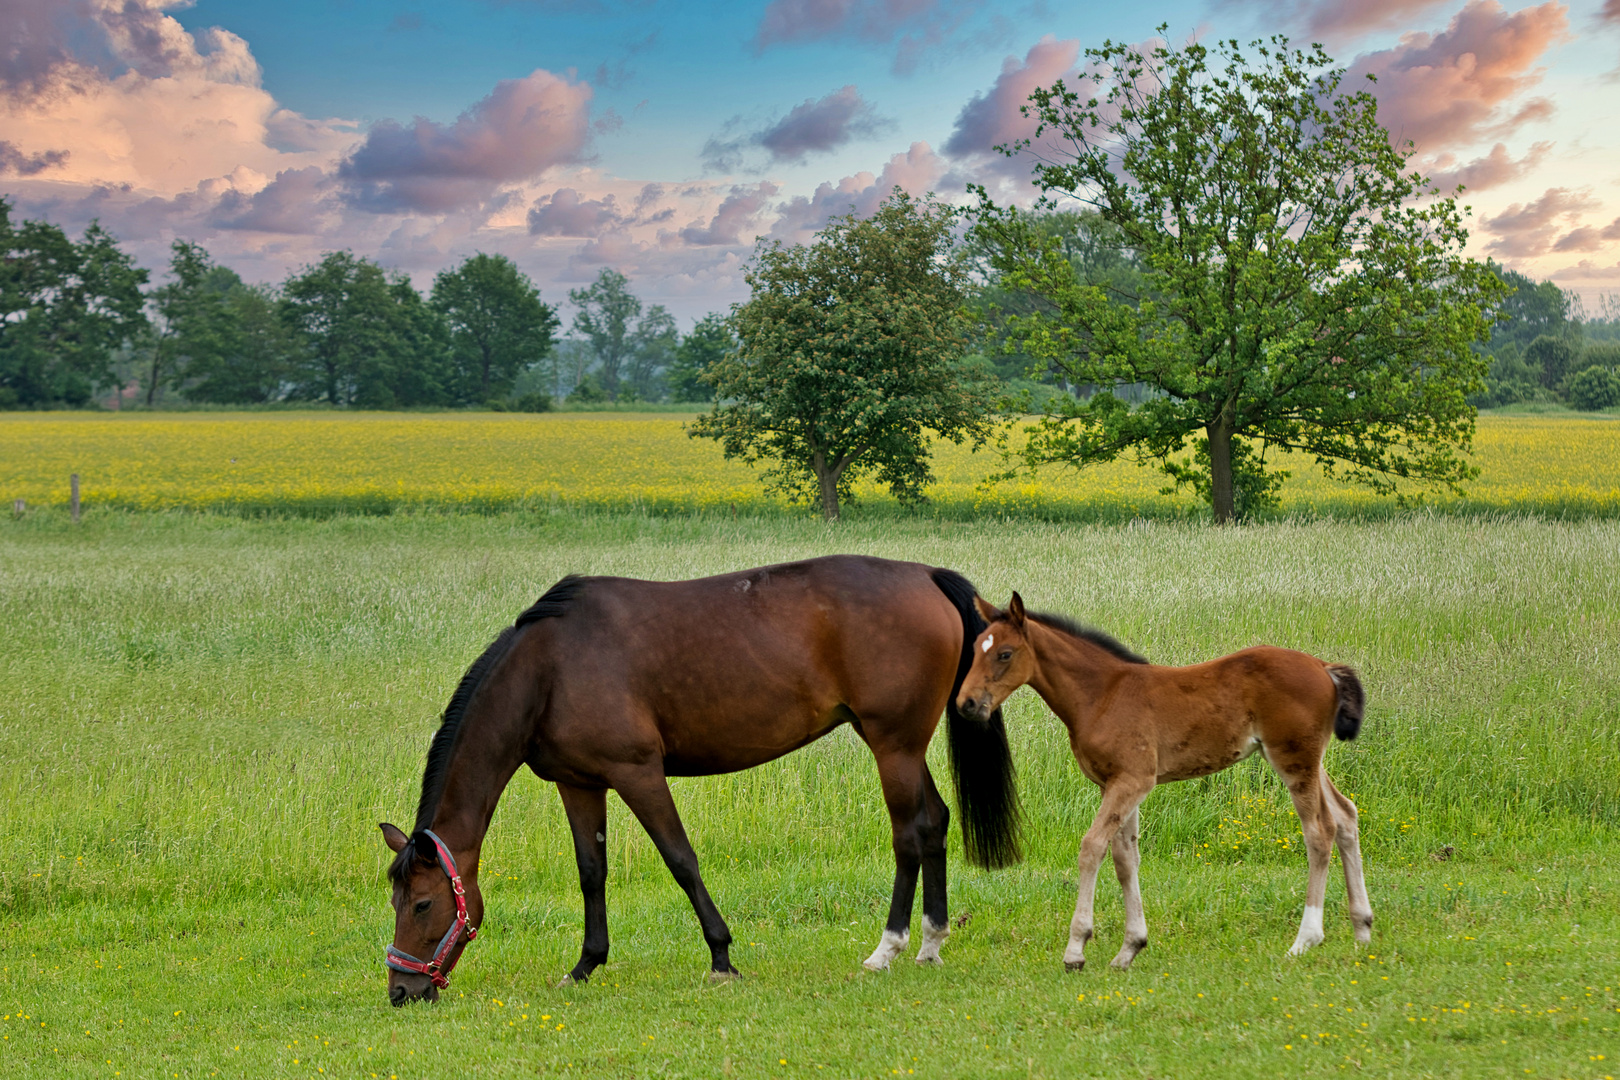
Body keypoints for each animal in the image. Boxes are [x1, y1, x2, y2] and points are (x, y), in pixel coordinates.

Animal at [372, 557, 1017, 1003]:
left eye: (424, 904)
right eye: (397, 901)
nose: (402, 991)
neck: (548, 667)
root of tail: (925, 576)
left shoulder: (638, 773)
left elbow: (681, 859)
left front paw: (722, 958)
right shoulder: (580, 783)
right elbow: (591, 872)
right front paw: (585, 966)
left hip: (892, 745)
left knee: (909, 835)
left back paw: (888, 948)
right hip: (898, 744)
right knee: (934, 823)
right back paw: (931, 944)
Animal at [952, 592, 1373, 971]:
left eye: (1005, 654)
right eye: (974, 648)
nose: (966, 704)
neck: (1102, 694)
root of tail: (1323, 666)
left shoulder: (1132, 781)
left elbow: (1092, 848)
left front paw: (1076, 949)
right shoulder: (1115, 784)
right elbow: (1125, 858)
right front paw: (1130, 948)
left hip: (1294, 759)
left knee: (1320, 830)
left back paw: (1305, 939)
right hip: (1306, 760)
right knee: (1346, 816)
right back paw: (1362, 929)